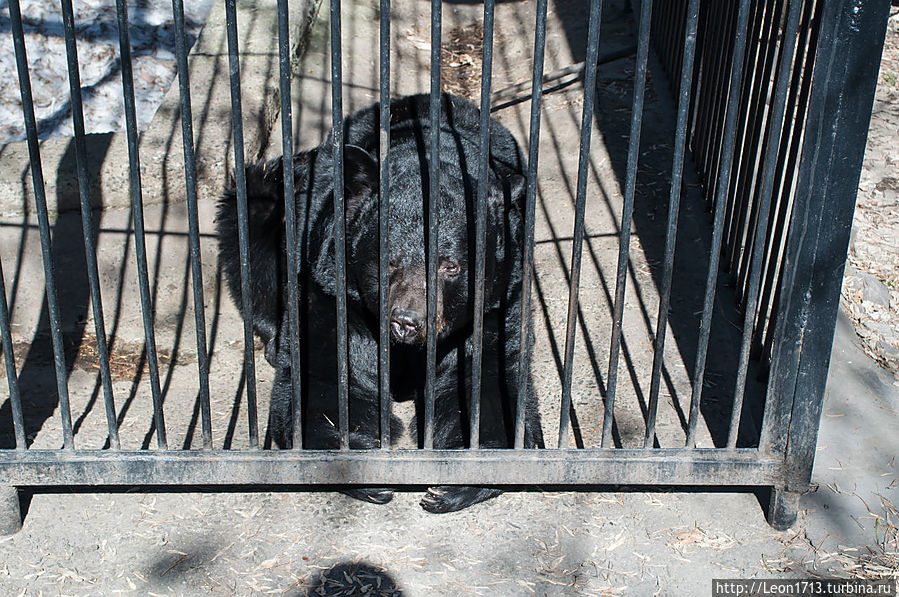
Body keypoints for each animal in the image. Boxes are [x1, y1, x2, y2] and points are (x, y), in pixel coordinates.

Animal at [218, 93, 540, 512]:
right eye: (388, 260)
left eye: (451, 266)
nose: (407, 321)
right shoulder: (330, 290)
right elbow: (328, 376)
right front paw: (364, 468)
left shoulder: (498, 303)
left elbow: (487, 380)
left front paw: (451, 485)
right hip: (270, 203)